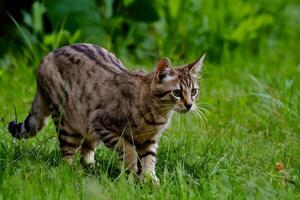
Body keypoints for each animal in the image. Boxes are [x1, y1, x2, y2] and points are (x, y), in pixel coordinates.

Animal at [7, 43, 205, 184]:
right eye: (177, 93)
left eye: (194, 91)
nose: (189, 105)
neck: (156, 114)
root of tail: (46, 57)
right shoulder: (102, 123)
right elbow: (128, 151)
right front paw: (133, 173)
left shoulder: (149, 140)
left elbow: (149, 160)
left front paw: (151, 180)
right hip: (68, 122)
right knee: (66, 155)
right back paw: (72, 171)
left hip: (88, 127)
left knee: (86, 151)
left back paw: (92, 167)